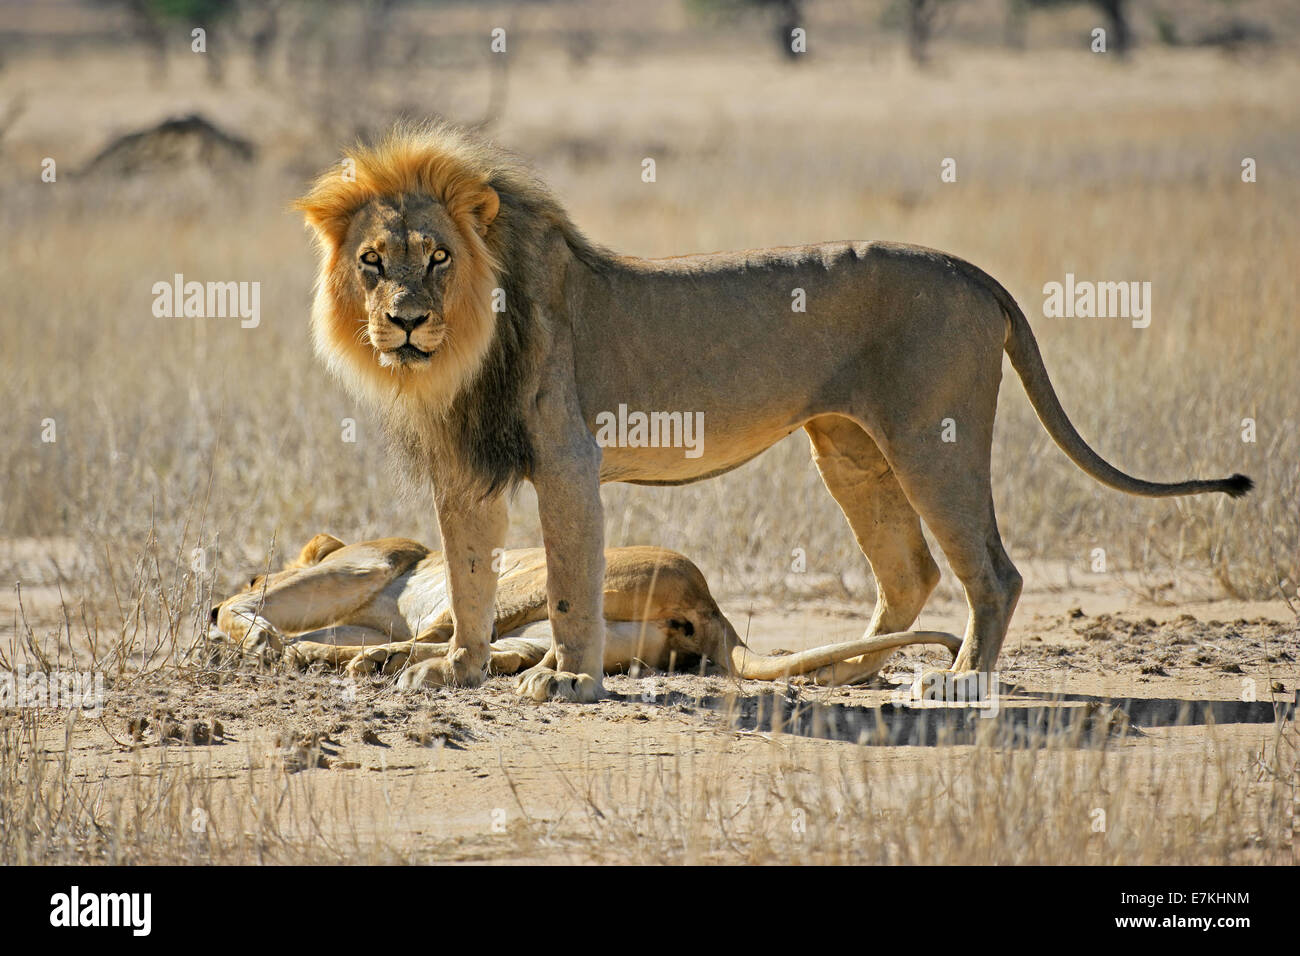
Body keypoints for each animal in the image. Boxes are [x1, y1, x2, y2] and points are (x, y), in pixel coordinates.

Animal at [295, 119, 1248, 702]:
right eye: (374, 262)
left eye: (438, 259)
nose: (405, 321)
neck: (462, 353)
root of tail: (974, 273)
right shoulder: (465, 474)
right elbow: (469, 579)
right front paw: (452, 669)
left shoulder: (568, 456)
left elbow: (567, 581)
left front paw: (567, 680)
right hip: (850, 448)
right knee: (911, 571)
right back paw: (850, 672)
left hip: (931, 438)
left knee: (993, 572)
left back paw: (958, 681)